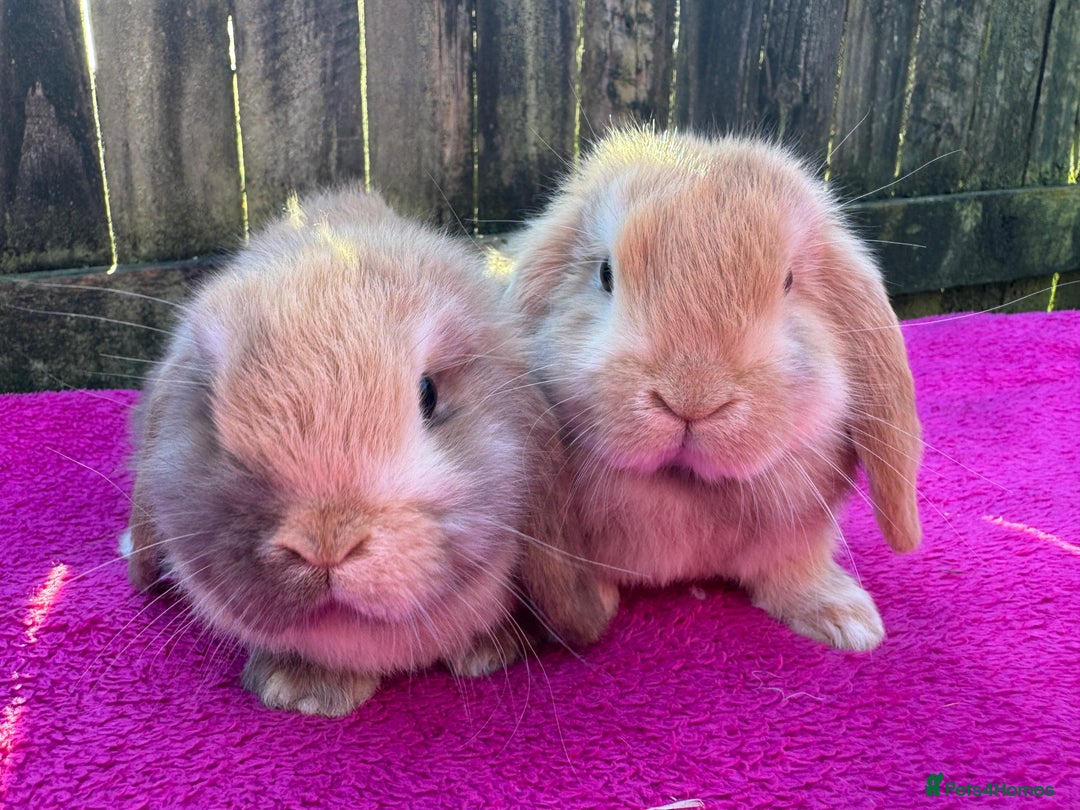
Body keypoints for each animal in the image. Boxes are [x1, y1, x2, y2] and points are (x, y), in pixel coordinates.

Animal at [507, 127, 923, 651]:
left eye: (788, 281)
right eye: (605, 274)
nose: (691, 399)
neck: (687, 491)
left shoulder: (798, 534)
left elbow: (792, 571)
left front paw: (849, 624)